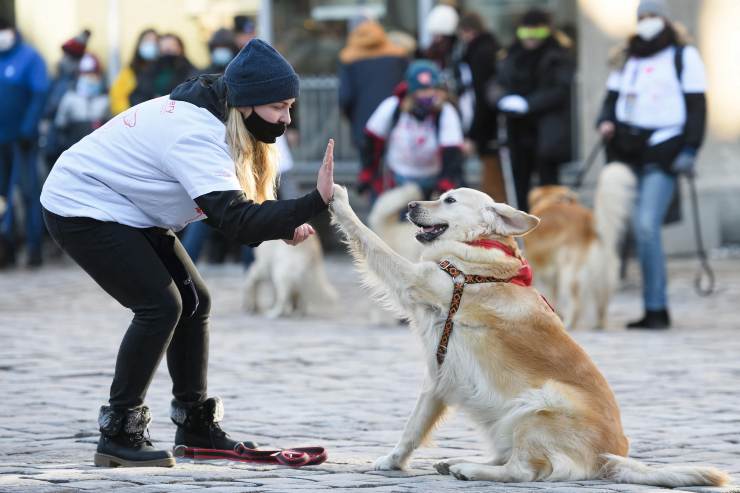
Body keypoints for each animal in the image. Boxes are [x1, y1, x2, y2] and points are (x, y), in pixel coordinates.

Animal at [520, 162, 636, 330]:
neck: (552, 201)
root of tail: (590, 222)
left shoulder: (546, 274)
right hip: (604, 274)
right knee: (602, 303)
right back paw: (599, 324)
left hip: (569, 272)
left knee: (576, 304)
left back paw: (569, 324)